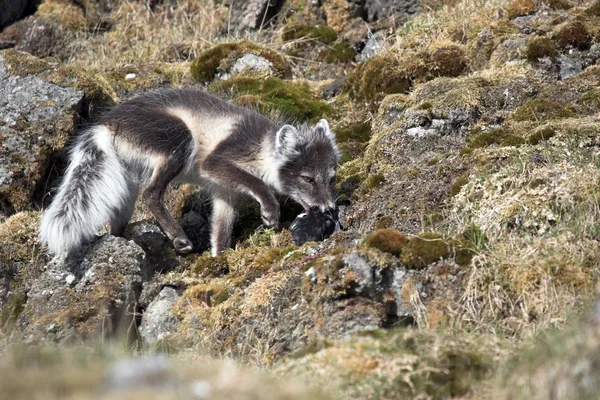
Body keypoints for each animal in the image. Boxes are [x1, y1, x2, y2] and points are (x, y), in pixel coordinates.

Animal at [39, 87, 342, 256]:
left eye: (331, 178)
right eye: (307, 178)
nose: (329, 209)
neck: (262, 147)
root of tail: (106, 123)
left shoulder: (224, 194)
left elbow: (220, 232)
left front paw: (219, 260)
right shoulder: (217, 162)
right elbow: (257, 183)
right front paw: (270, 212)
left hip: (126, 184)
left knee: (119, 217)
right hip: (178, 140)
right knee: (152, 194)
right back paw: (179, 238)